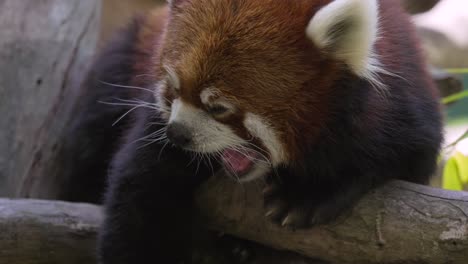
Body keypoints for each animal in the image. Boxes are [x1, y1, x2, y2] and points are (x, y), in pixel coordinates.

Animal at [61, 0, 442, 262]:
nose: (177, 134)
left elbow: (402, 157)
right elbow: (139, 195)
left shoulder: (402, 105)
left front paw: (308, 192)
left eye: (218, 107)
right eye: (173, 88)